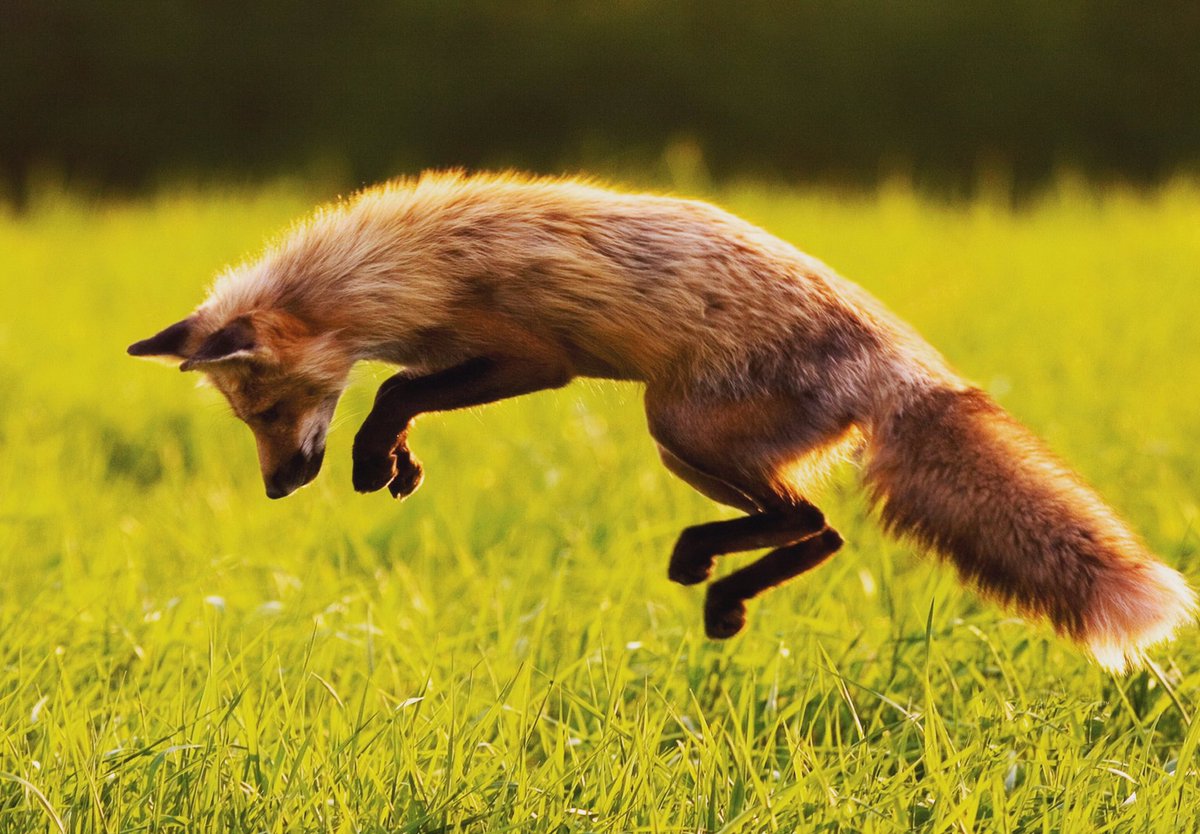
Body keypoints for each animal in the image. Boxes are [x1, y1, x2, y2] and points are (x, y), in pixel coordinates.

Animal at [128, 171, 1194, 672]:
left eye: (268, 410)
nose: (280, 486)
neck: (391, 274)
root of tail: (908, 363)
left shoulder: (532, 357)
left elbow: (393, 392)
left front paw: (375, 455)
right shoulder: (473, 358)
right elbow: (399, 396)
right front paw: (394, 466)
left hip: (675, 424)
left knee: (813, 522)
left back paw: (710, 577)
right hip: (689, 443)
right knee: (821, 530)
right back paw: (719, 589)